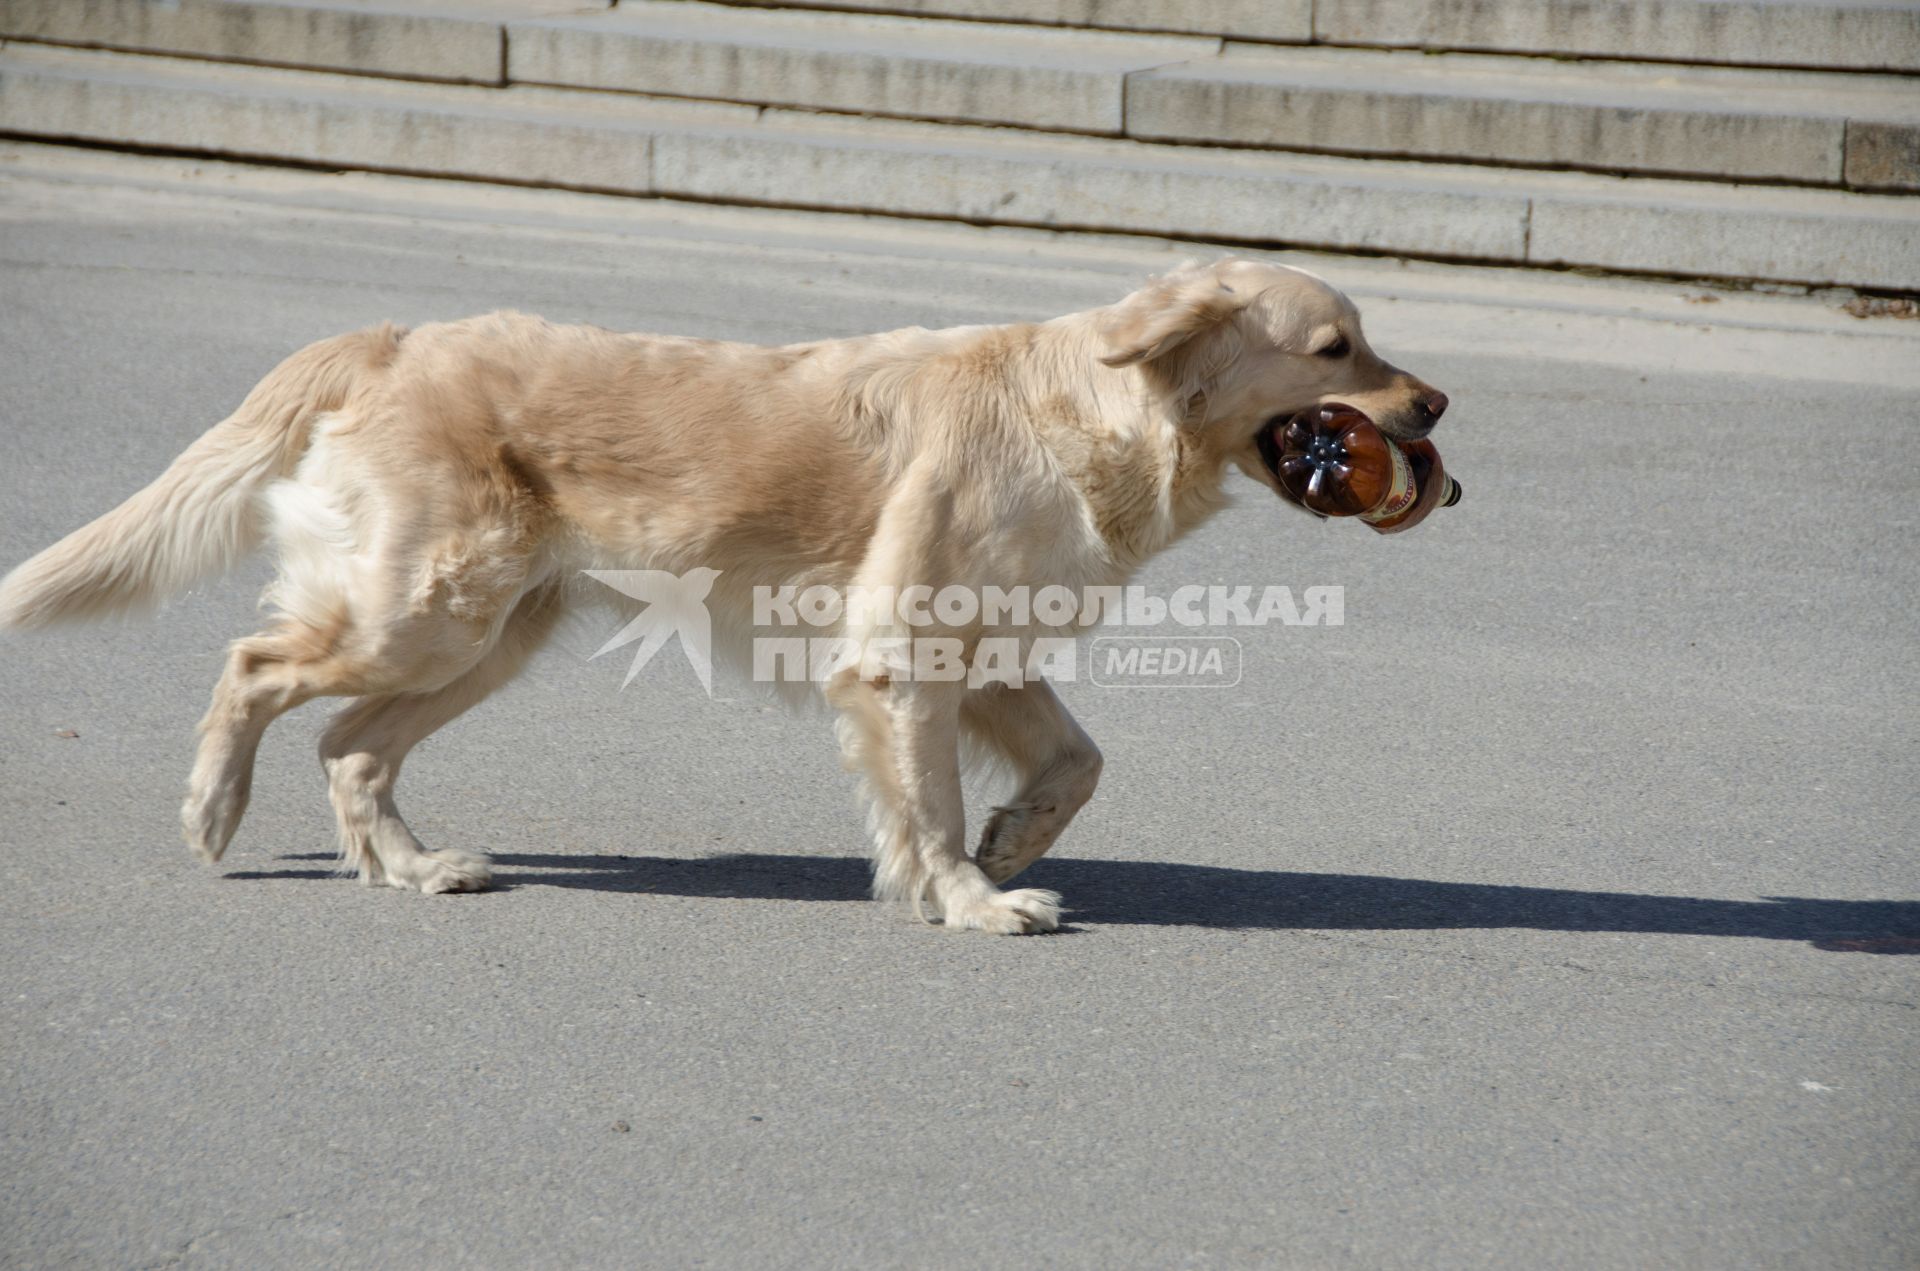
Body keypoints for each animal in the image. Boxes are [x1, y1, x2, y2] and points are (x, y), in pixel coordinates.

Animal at [0, 259, 1443, 936]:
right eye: (1337, 349)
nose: (1434, 404)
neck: (1098, 409)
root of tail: (395, 336)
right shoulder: (900, 656)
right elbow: (926, 802)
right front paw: (971, 897)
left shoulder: (985, 654)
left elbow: (1079, 760)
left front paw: (1009, 845)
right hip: (428, 610)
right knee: (254, 670)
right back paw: (212, 810)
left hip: (487, 636)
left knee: (351, 746)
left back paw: (415, 867)